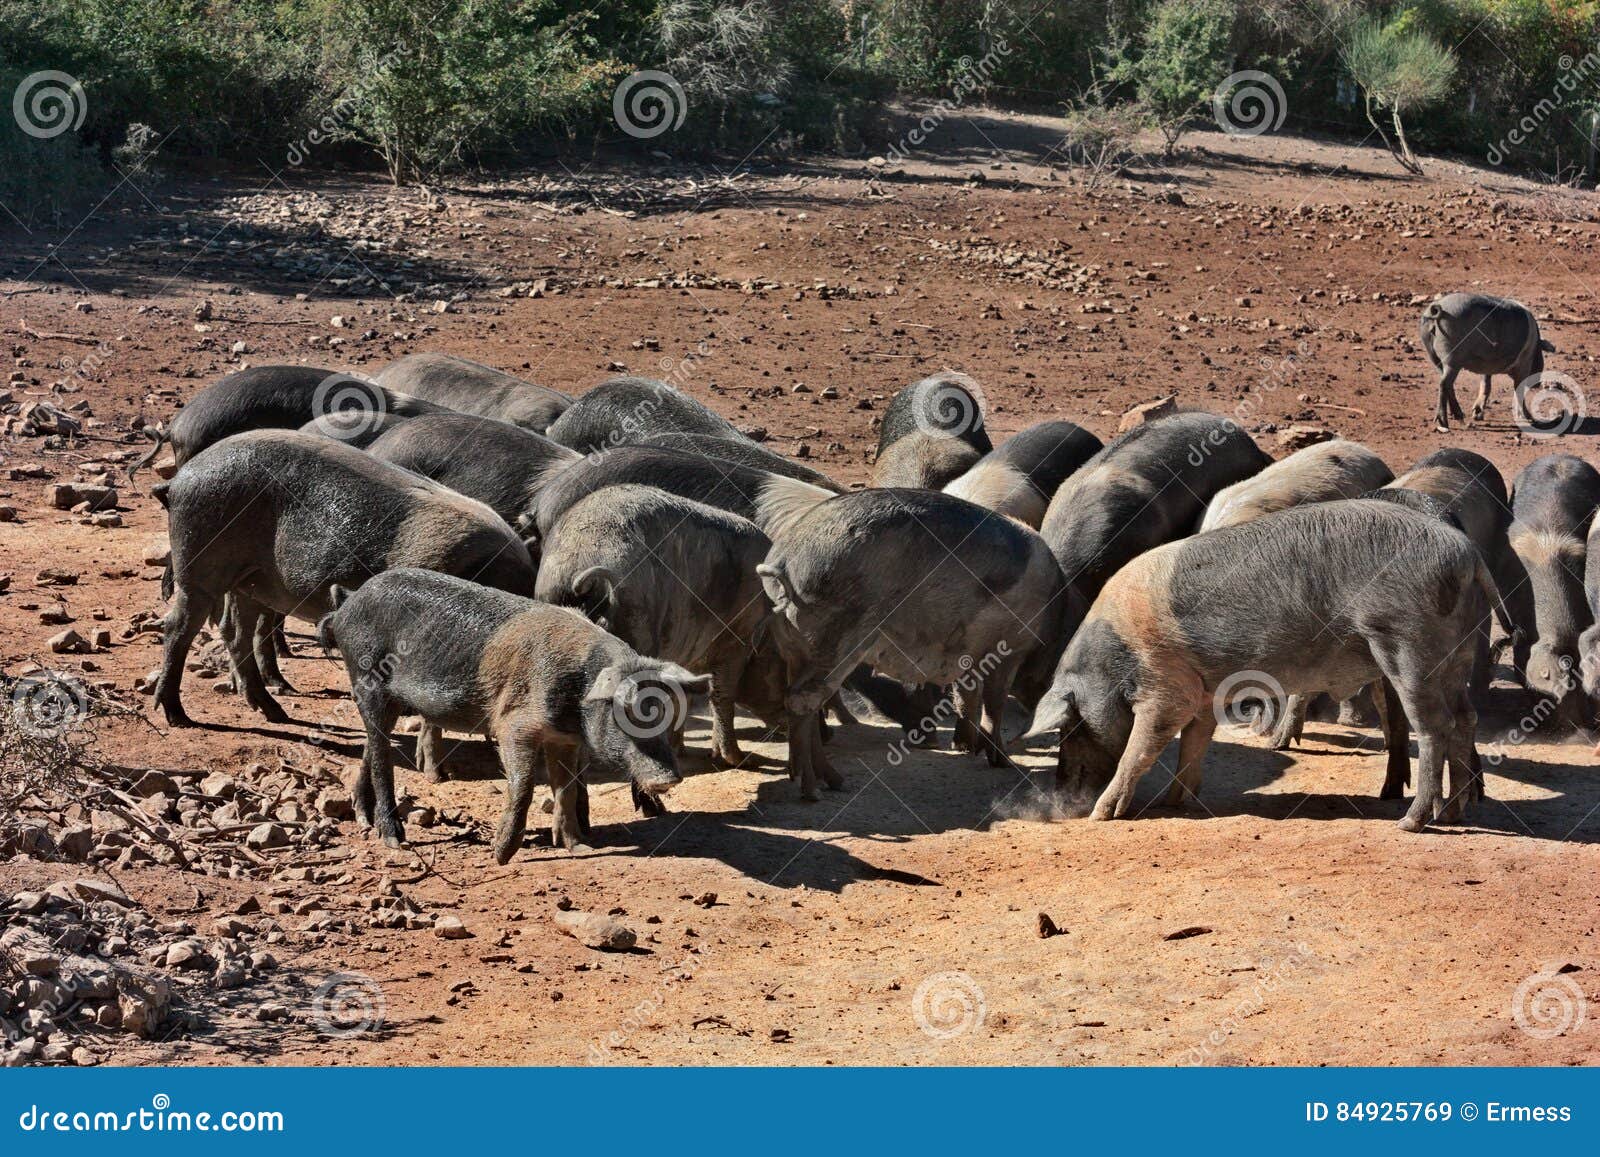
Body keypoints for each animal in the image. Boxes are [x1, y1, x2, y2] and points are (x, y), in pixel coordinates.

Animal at [318, 566, 707, 857]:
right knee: (381, 756)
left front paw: (578, 847)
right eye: (624, 713)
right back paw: (394, 840)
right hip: (366, 679)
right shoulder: (514, 725)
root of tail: (347, 603)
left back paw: (363, 819)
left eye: (666, 715)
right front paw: (499, 854)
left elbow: (566, 789)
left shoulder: (565, 739)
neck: (577, 694)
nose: (669, 777)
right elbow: (524, 787)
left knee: (373, 745)